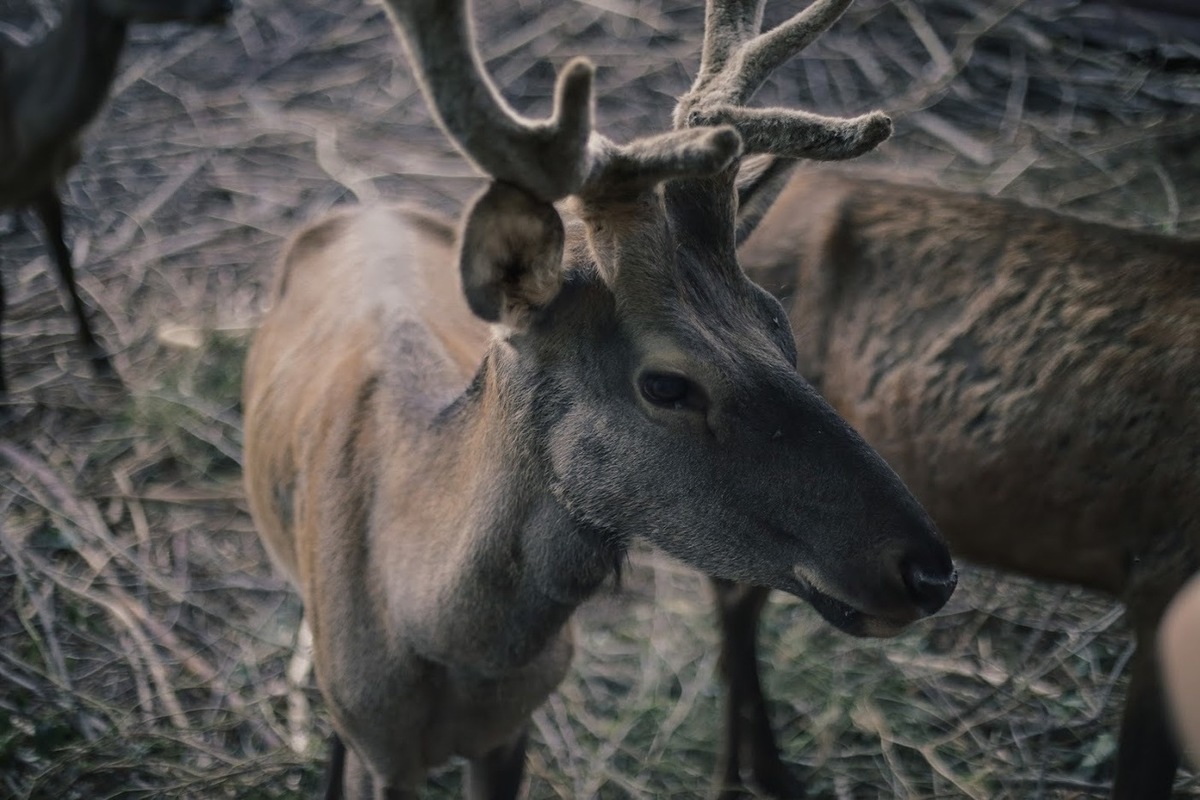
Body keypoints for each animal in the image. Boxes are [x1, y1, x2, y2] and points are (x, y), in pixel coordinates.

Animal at [238, 0, 960, 796]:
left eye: (778, 321)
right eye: (666, 383)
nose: (930, 571)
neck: (434, 627)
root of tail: (361, 210)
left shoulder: (514, 725)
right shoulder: (383, 750)